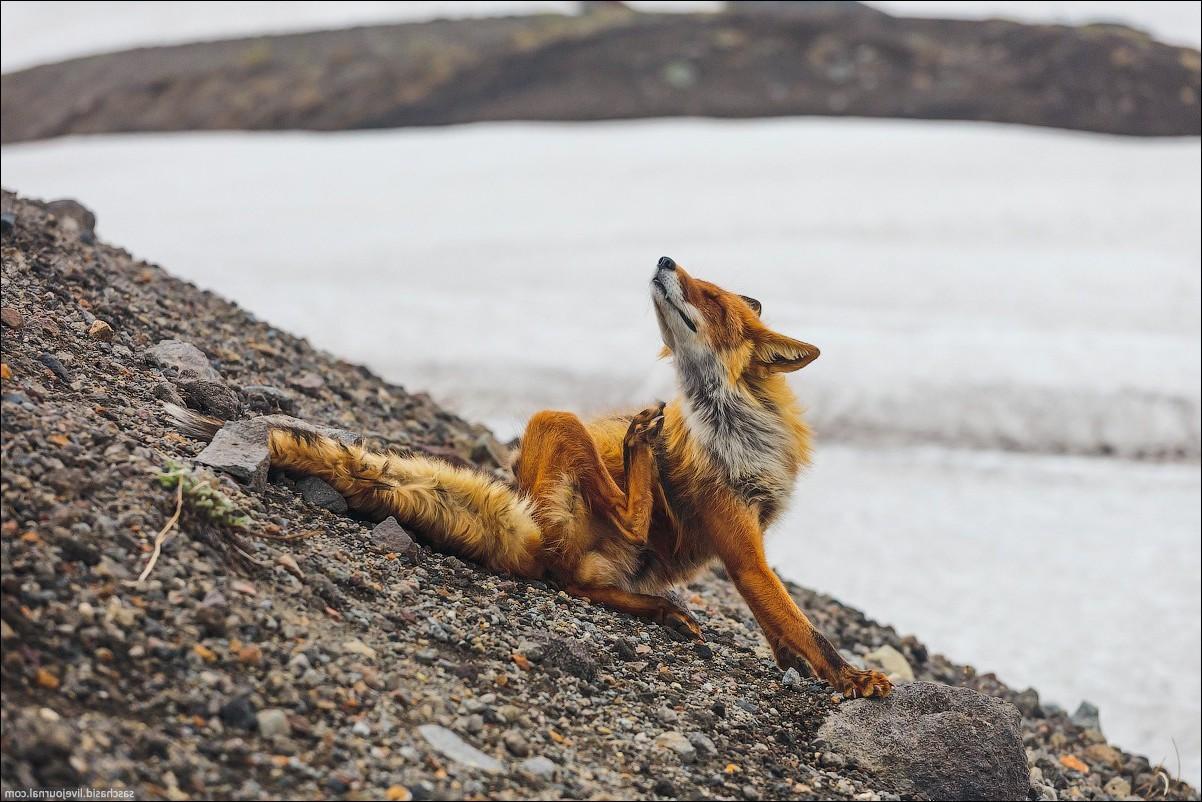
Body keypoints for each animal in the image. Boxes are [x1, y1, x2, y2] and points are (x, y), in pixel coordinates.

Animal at [168, 257, 892, 699]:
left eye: (709, 295)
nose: (663, 260)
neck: (735, 429)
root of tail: (521, 517)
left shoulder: (753, 534)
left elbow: (781, 627)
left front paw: (799, 666)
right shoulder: (738, 542)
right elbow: (804, 624)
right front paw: (851, 678)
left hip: (609, 554)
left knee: (580, 583)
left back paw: (662, 605)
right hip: (556, 426)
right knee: (589, 551)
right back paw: (641, 454)